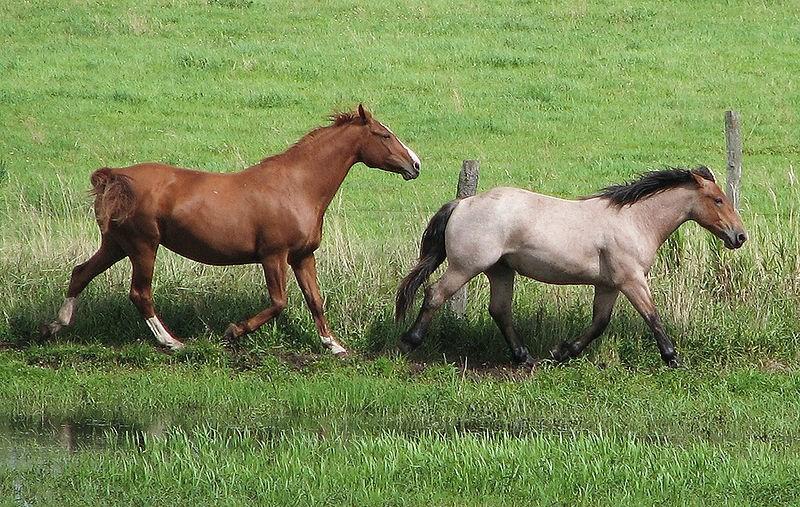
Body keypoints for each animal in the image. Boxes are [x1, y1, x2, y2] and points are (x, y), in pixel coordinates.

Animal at [43, 105, 422, 356]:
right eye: (384, 134)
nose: (415, 164)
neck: (297, 186)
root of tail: (115, 177)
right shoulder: (274, 256)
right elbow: (279, 302)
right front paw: (234, 331)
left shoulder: (302, 256)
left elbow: (315, 300)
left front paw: (334, 346)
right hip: (143, 247)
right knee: (140, 293)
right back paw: (172, 341)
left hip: (116, 245)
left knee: (80, 273)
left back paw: (55, 326)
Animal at [396, 167, 748, 370]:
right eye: (718, 199)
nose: (739, 236)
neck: (634, 220)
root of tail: (462, 203)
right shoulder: (631, 280)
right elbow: (652, 316)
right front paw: (672, 358)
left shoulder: (608, 286)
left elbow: (599, 323)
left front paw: (562, 352)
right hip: (466, 266)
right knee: (434, 294)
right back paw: (410, 341)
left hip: (500, 270)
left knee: (499, 310)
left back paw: (524, 357)